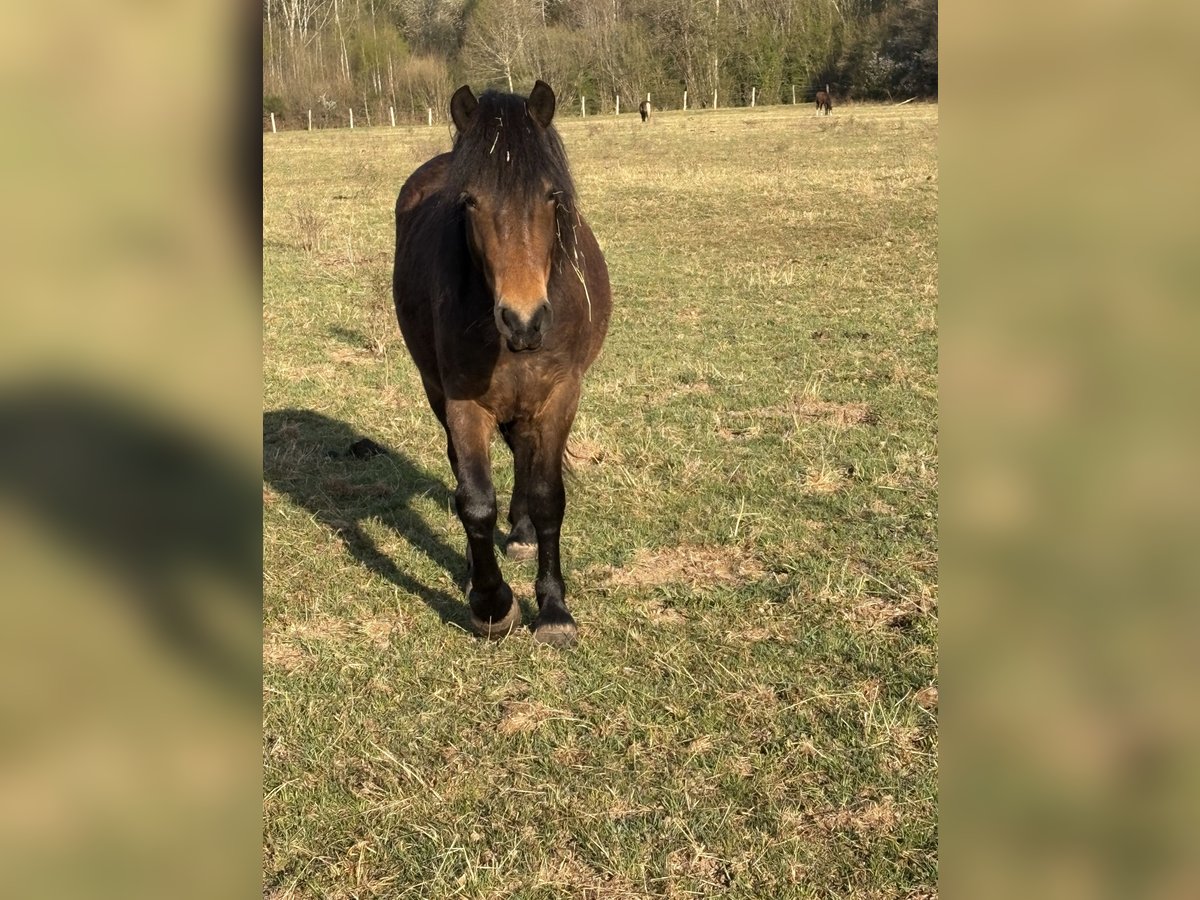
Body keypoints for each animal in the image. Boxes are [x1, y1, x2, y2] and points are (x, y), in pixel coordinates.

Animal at [391, 80, 612, 646]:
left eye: (552, 196)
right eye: (470, 201)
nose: (523, 320)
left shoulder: (559, 396)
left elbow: (548, 495)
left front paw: (554, 611)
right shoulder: (461, 401)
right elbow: (474, 500)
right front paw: (491, 604)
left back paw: (524, 534)